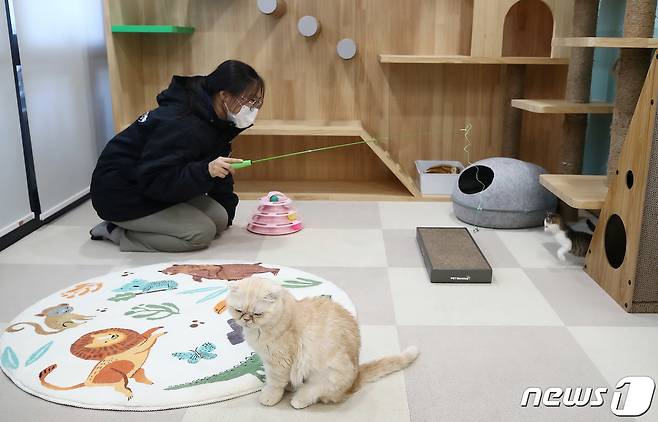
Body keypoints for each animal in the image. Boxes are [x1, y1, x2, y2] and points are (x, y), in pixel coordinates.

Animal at [226, 276, 418, 408]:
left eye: (257, 314)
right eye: (239, 311)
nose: (246, 319)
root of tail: (356, 379)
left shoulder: (278, 363)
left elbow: (274, 383)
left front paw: (270, 396)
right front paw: (284, 387)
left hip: (326, 378)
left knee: (315, 394)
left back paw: (298, 399)